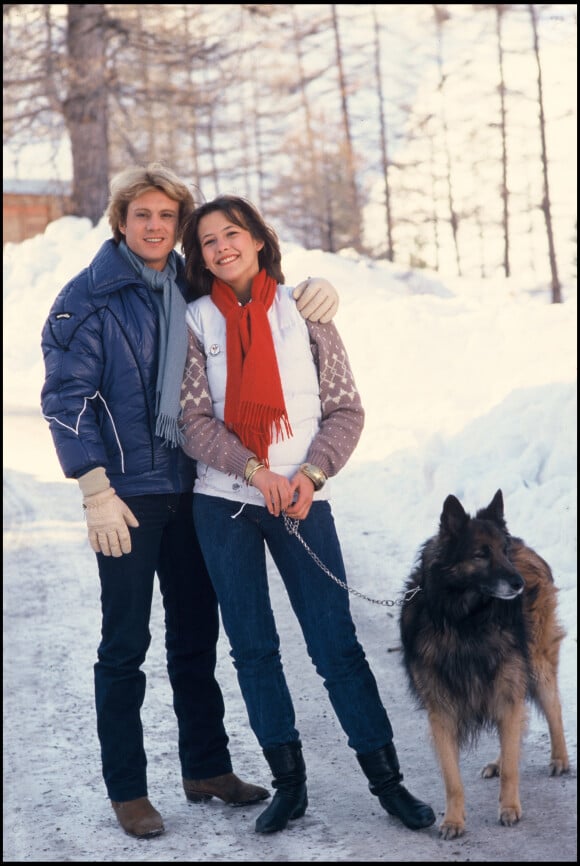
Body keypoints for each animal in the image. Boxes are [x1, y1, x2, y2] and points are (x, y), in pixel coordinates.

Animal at [402, 490, 568, 832]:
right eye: (481, 554)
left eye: (503, 552)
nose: (518, 584)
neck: (466, 622)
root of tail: (524, 544)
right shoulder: (441, 709)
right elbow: (452, 778)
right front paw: (453, 820)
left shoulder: (508, 688)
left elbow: (513, 765)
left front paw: (510, 808)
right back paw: (500, 761)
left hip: (536, 663)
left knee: (552, 709)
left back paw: (560, 759)